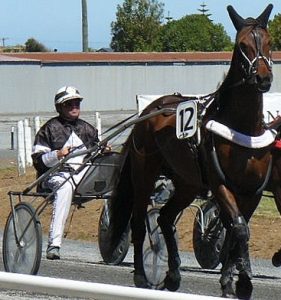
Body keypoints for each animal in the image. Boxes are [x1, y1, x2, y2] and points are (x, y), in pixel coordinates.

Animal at [106, 4, 272, 300]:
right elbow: (239, 228)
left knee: (165, 217)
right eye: (242, 44)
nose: (263, 77)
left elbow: (237, 229)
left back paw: (172, 275)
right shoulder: (220, 185)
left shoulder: (252, 190)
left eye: (269, 42)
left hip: (187, 183)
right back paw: (141, 275)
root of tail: (150, 109)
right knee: (138, 220)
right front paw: (243, 283)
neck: (241, 127)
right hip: (145, 173)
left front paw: (231, 281)